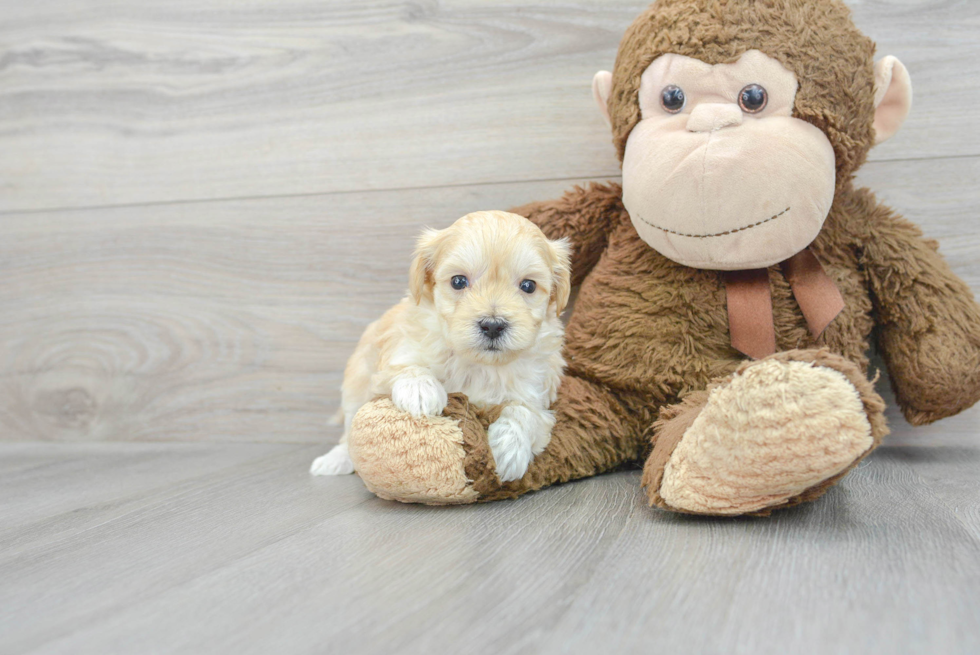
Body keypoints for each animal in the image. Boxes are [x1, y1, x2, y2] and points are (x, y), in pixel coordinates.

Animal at [310, 210, 572, 482]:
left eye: (528, 286)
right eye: (458, 281)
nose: (492, 325)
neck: (478, 364)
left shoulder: (535, 391)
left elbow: (524, 411)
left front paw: (509, 449)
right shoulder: (397, 350)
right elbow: (406, 366)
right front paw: (420, 392)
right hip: (356, 380)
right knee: (349, 429)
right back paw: (334, 460)